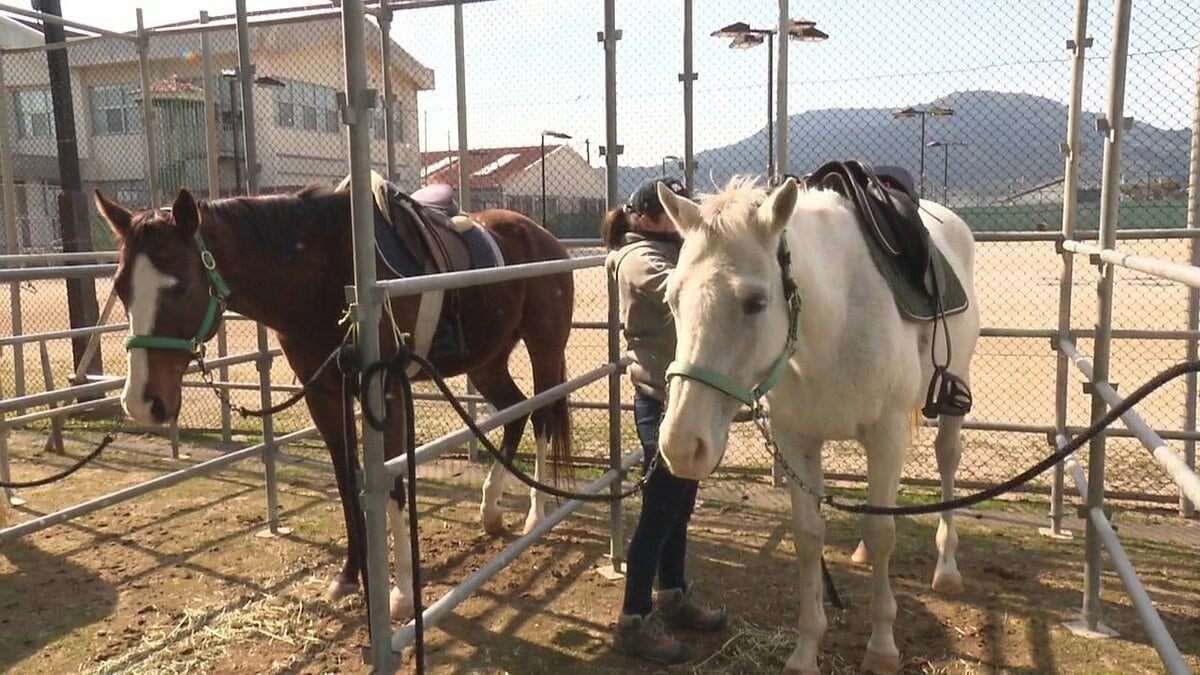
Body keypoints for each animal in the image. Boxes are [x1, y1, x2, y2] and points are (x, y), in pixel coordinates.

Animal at [93, 184, 575, 621]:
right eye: (121, 289)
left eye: (179, 287)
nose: (141, 402)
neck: (325, 272)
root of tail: (544, 237)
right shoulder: (323, 395)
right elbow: (347, 481)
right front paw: (349, 576)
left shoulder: (386, 392)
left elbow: (392, 486)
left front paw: (401, 595)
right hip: (487, 362)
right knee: (516, 414)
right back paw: (491, 511)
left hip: (544, 349)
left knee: (543, 415)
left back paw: (536, 515)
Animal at [653, 176, 980, 674]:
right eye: (671, 298)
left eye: (756, 302)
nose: (681, 446)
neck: (831, 326)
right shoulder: (797, 440)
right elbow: (808, 537)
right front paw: (806, 650)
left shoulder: (885, 438)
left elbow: (883, 535)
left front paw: (882, 647)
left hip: (951, 398)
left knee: (946, 460)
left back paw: (947, 567)